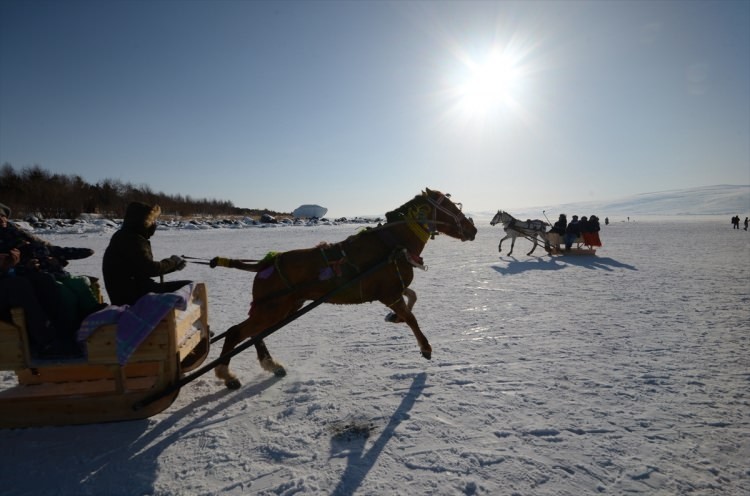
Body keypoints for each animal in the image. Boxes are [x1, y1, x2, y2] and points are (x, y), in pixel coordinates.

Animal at [210, 188, 476, 390]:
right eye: (451, 207)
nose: (473, 229)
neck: (392, 244)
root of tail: (264, 264)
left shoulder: (393, 291)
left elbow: (412, 299)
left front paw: (393, 318)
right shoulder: (388, 293)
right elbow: (411, 317)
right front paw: (425, 347)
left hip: (285, 307)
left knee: (254, 333)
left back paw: (271, 365)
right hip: (272, 308)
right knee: (236, 332)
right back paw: (227, 375)